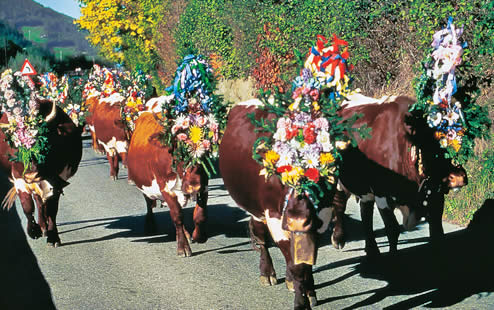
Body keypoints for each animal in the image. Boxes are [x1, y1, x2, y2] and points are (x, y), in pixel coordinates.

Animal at [0, 99, 83, 247]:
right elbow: (27, 206)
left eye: (43, 140)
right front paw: (33, 231)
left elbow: (52, 210)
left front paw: (53, 236)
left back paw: (45, 227)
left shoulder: (57, 181)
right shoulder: (19, 179)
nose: (30, 175)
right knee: (37, 201)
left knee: (41, 203)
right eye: (17, 144)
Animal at [126, 111, 207, 256]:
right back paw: (150, 225)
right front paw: (183, 247)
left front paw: (197, 236)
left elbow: (200, 214)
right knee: (149, 203)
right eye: (179, 150)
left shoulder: (204, 185)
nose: (194, 186)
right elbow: (177, 215)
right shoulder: (165, 188)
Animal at [218, 100, 334, 310]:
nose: (297, 219)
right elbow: (297, 266)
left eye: (318, 175)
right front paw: (301, 302)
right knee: (260, 236)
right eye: (282, 172)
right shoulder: (273, 215)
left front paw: (309, 291)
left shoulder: (323, 217)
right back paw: (267, 273)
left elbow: (305, 261)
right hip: (256, 208)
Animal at [332, 97, 466, 256]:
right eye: (427, 140)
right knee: (340, 202)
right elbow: (393, 230)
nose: (458, 177)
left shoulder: (435, 195)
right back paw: (338, 239)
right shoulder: (382, 194)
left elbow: (437, 230)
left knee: (365, 210)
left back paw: (372, 250)